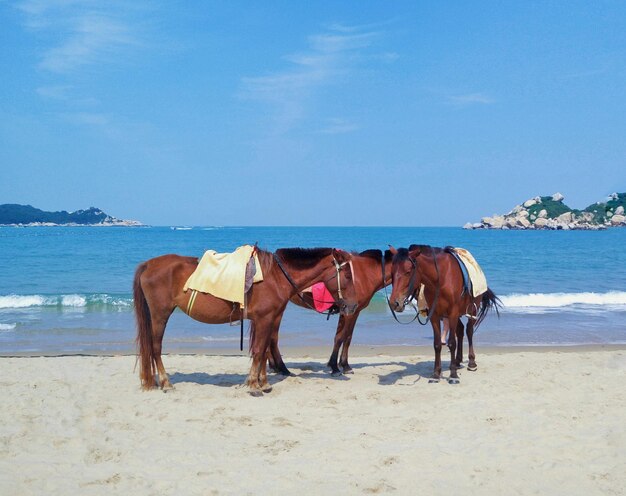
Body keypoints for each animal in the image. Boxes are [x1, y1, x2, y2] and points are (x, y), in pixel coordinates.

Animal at [133, 247, 356, 396]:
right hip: (160, 315)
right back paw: (166, 383)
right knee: (155, 348)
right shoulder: (265, 319)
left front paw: (263, 383)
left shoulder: (268, 319)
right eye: (346, 275)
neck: (275, 276)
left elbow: (264, 351)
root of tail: (148, 264)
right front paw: (255, 385)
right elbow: (259, 351)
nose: (352, 306)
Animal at [388, 244, 500, 384]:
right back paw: (457, 361)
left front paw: (453, 375)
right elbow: (437, 344)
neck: (440, 279)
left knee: (469, 331)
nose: (394, 303)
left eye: (408, 272)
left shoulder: (452, 313)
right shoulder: (435, 315)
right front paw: (436, 374)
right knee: (460, 330)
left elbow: (451, 343)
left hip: (472, 310)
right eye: (392, 272)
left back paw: (471, 363)